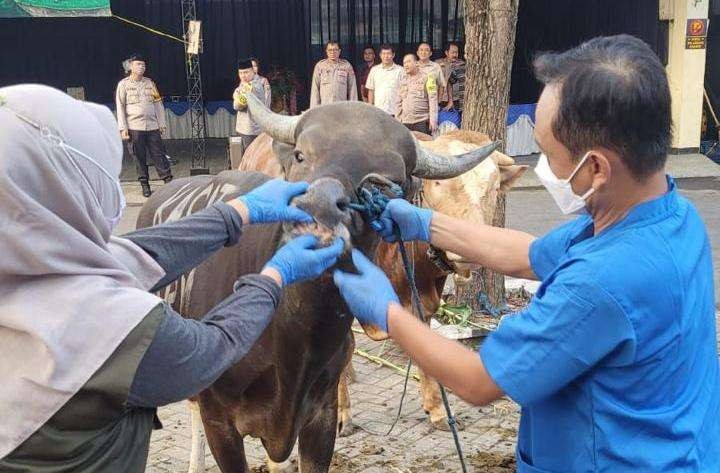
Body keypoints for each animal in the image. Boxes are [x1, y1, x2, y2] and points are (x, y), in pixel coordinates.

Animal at [239, 127, 524, 434]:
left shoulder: (421, 302)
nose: (465, 253)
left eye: (494, 187)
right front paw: (343, 413)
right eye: (437, 185)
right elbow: (345, 347)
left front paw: (436, 409)